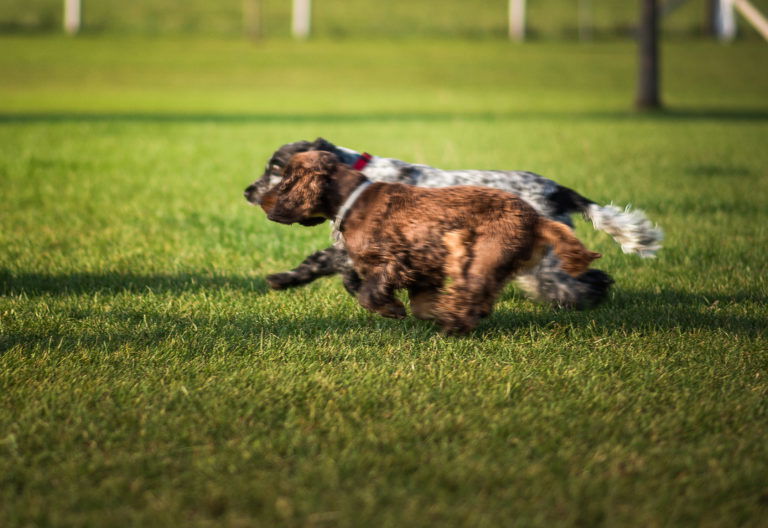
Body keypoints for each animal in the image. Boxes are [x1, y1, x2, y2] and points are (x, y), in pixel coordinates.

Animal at [260, 151, 604, 336]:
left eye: (285, 181)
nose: (258, 198)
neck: (353, 200)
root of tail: (537, 217)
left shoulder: (394, 259)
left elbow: (369, 294)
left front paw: (392, 309)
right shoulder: (423, 270)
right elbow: (421, 304)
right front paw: (427, 311)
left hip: (483, 256)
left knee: (473, 293)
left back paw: (453, 326)